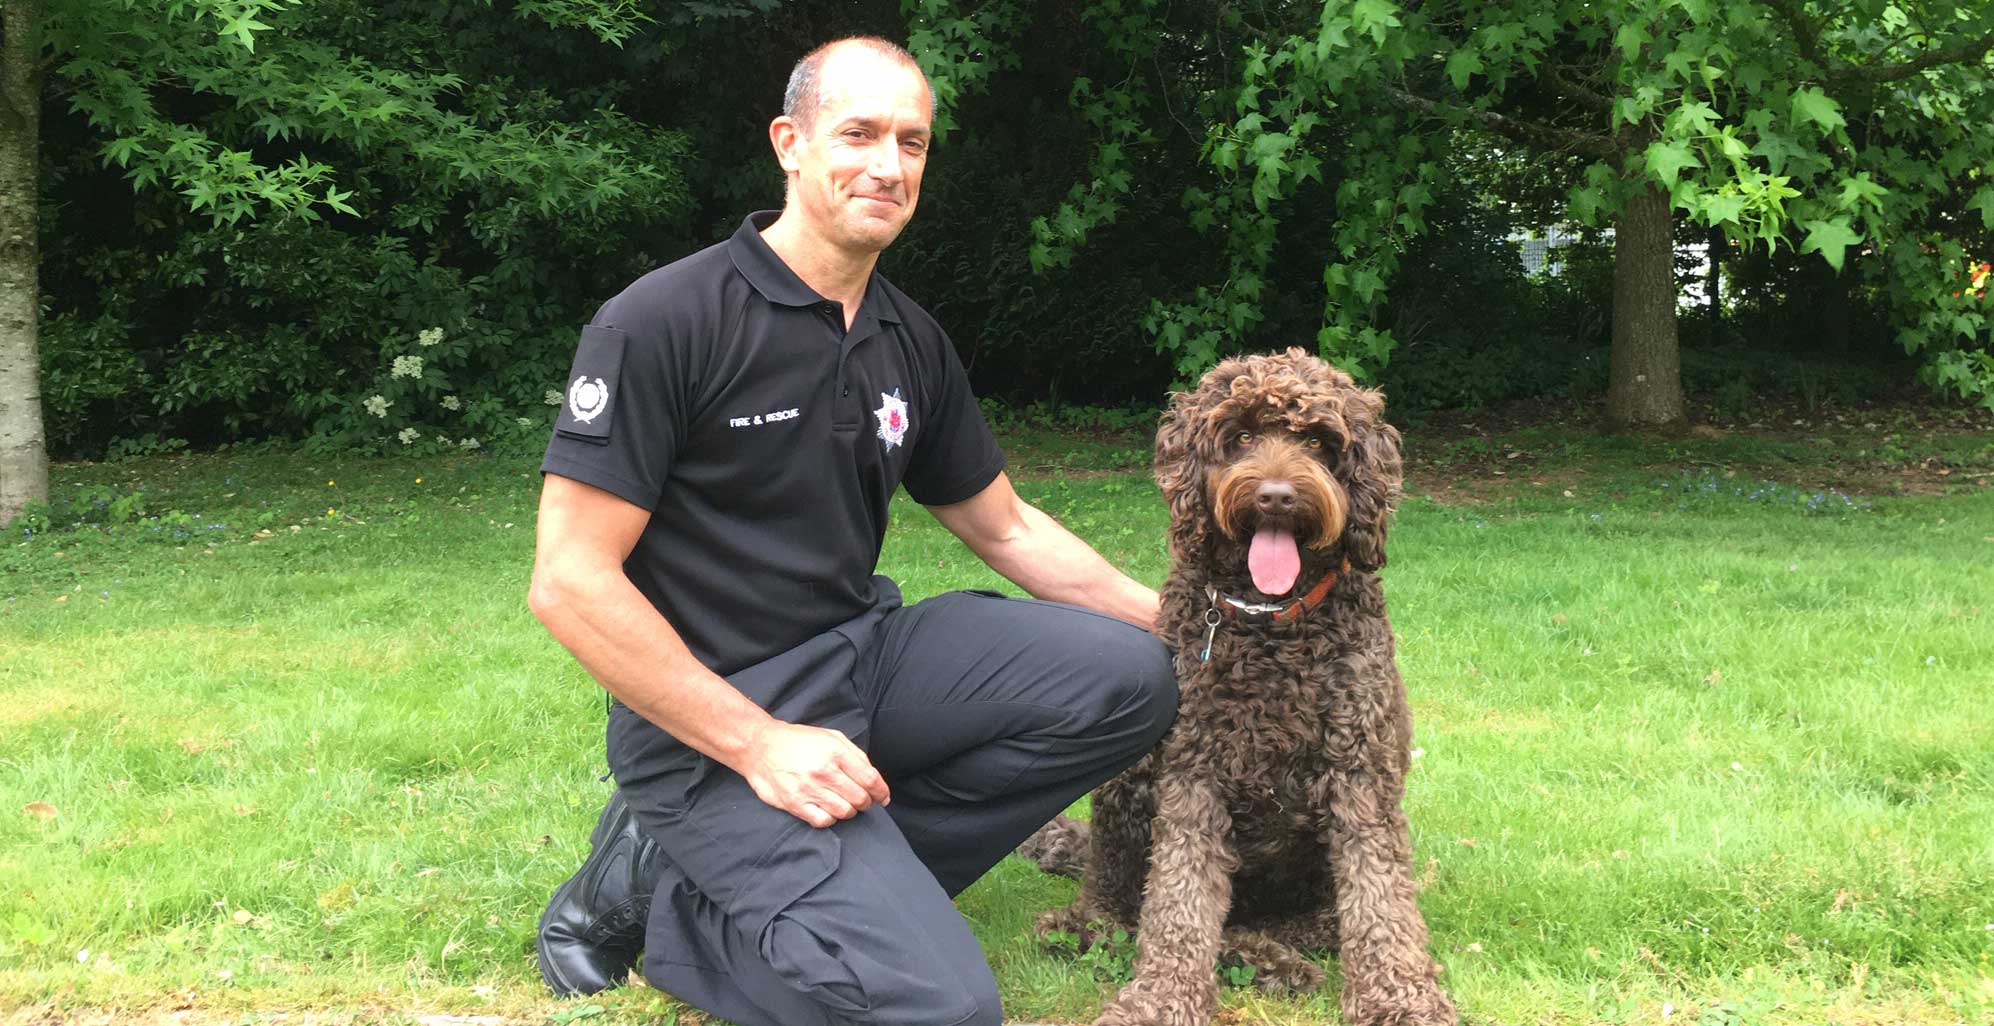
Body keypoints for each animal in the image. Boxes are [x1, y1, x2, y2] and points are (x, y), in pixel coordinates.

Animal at [1020, 350, 1459, 1026]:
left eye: (1318, 441)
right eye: (1243, 437)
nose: (1276, 496)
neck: (1271, 622)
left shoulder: (1361, 777)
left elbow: (1381, 899)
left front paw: (1400, 998)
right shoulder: (1194, 774)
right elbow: (1178, 900)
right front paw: (1161, 999)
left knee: (1309, 926)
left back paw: (1269, 959)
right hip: (1130, 776)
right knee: (1122, 904)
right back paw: (1086, 927)